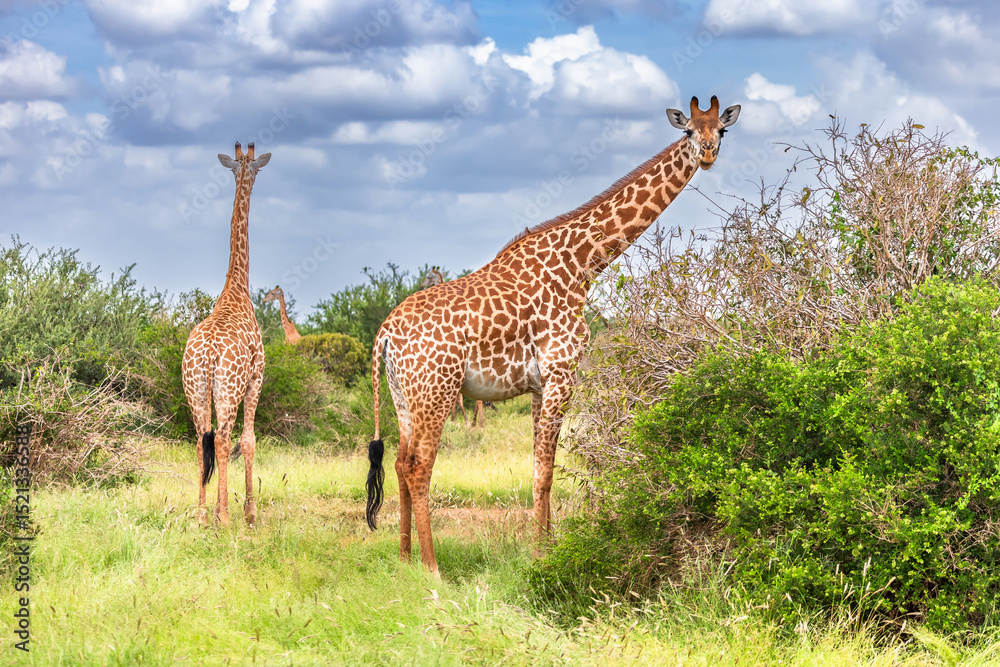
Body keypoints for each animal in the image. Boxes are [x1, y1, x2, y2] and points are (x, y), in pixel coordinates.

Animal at [366, 96, 740, 574]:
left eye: (721, 130)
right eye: (689, 131)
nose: (708, 154)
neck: (582, 264)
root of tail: (385, 334)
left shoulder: (540, 383)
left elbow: (538, 468)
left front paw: (547, 548)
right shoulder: (562, 372)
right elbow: (545, 470)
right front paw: (543, 557)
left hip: (404, 396)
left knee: (397, 462)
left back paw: (404, 559)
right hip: (438, 391)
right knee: (418, 466)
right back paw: (433, 568)